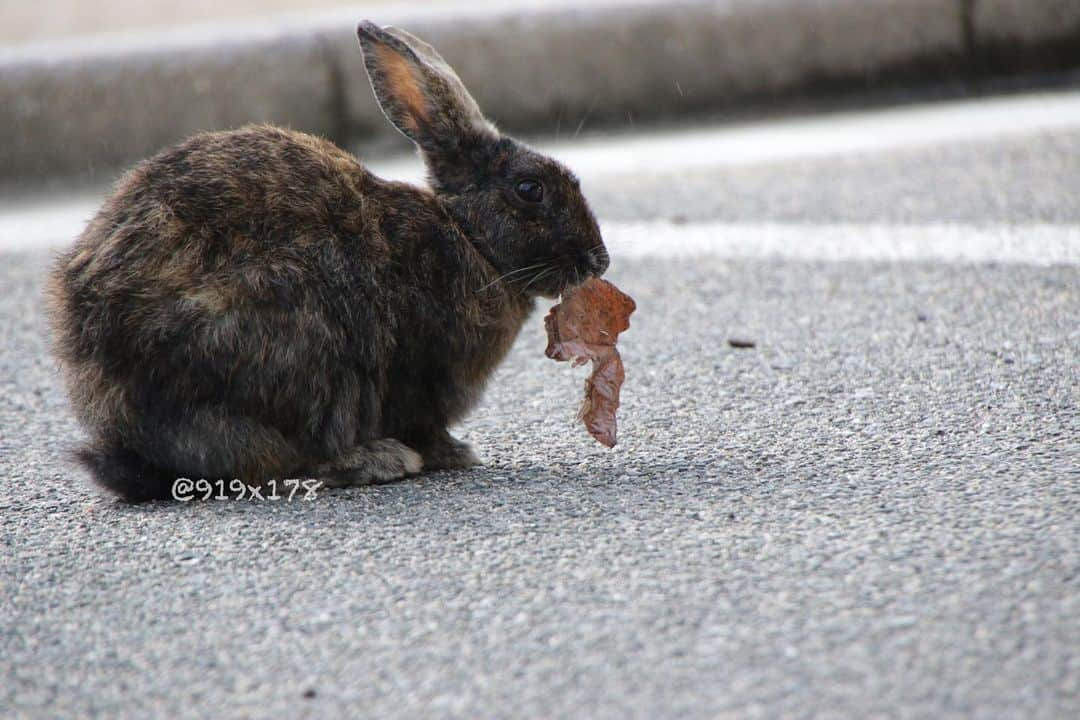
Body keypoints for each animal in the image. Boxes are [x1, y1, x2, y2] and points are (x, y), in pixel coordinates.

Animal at [46, 22, 609, 500]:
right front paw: (454, 454)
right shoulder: (419, 378)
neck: (467, 236)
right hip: (294, 338)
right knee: (283, 460)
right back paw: (378, 460)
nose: (598, 261)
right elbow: (423, 423)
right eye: (530, 189)